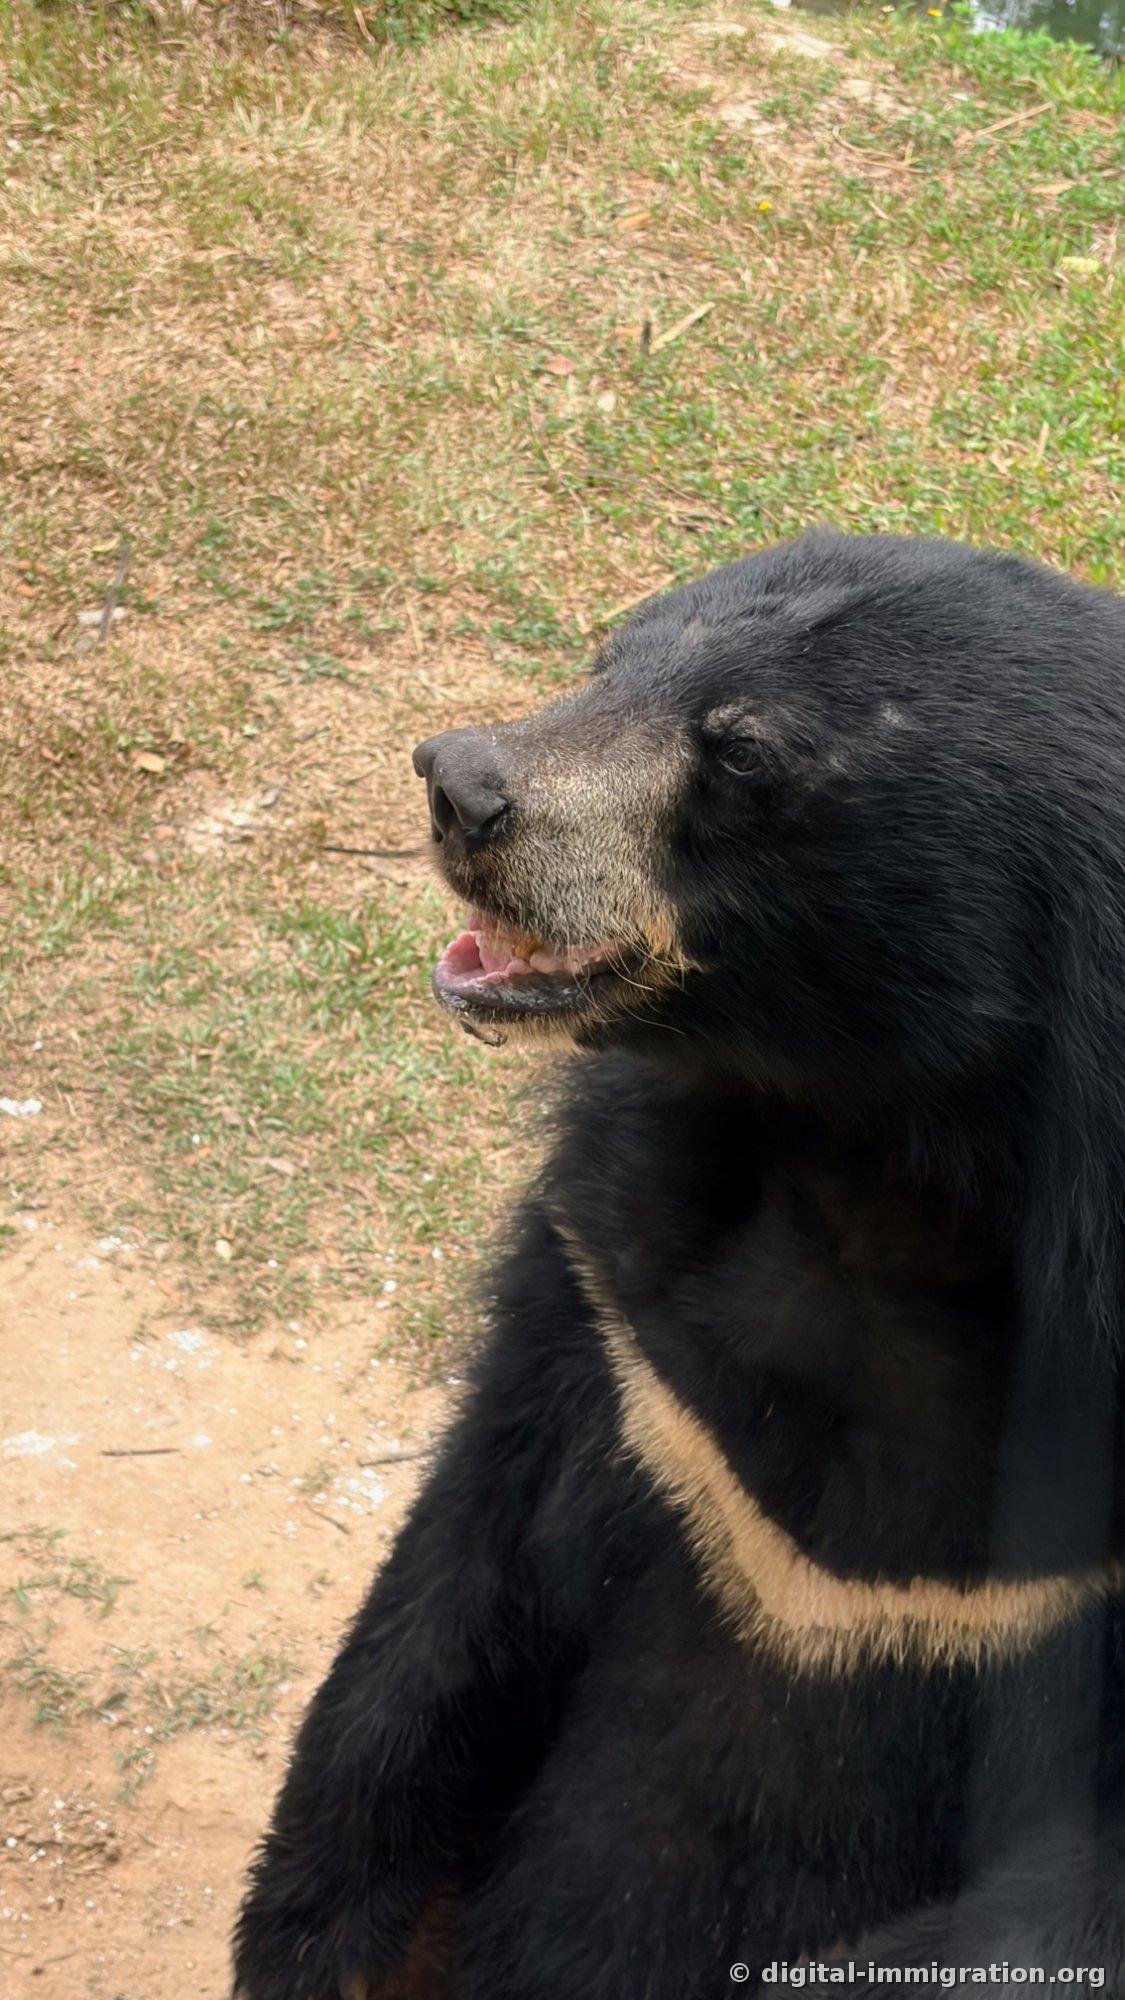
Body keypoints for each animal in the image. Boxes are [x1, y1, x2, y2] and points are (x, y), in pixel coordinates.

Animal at [234, 531, 1125, 2000]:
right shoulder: (618, 1316)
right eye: (614, 654)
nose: (463, 782)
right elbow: (446, 1596)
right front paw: (315, 1948)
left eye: (745, 752)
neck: (876, 1180)